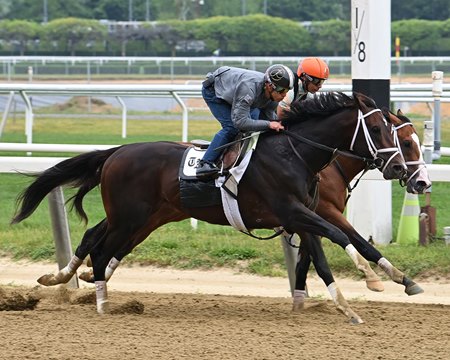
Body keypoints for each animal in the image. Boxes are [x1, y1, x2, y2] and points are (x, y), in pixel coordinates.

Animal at [11, 92, 408, 316]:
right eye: (378, 130)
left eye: (395, 131)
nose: (400, 169)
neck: (293, 153)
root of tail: (116, 152)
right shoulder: (293, 211)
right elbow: (337, 237)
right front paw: (371, 278)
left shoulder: (302, 214)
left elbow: (323, 256)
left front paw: (350, 304)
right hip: (130, 217)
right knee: (100, 247)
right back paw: (101, 302)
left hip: (142, 216)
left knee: (97, 239)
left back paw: (66, 278)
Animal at [290, 109, 430, 320]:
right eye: (406, 142)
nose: (423, 182)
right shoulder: (326, 213)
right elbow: (361, 243)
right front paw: (378, 279)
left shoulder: (311, 220)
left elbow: (305, 260)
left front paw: (298, 305)